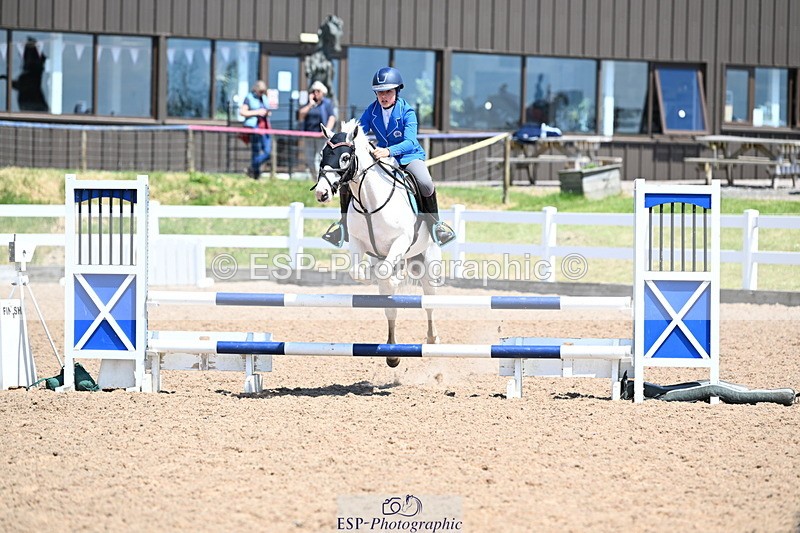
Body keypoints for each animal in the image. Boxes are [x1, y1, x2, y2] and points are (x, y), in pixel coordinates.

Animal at [312, 119, 442, 367]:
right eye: (323, 153)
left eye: (345, 157)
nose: (322, 193)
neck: (369, 202)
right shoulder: (358, 242)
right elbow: (358, 272)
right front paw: (379, 277)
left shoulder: (401, 240)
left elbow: (384, 271)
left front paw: (392, 277)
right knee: (391, 309)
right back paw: (392, 354)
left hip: (428, 260)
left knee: (430, 300)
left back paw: (432, 339)